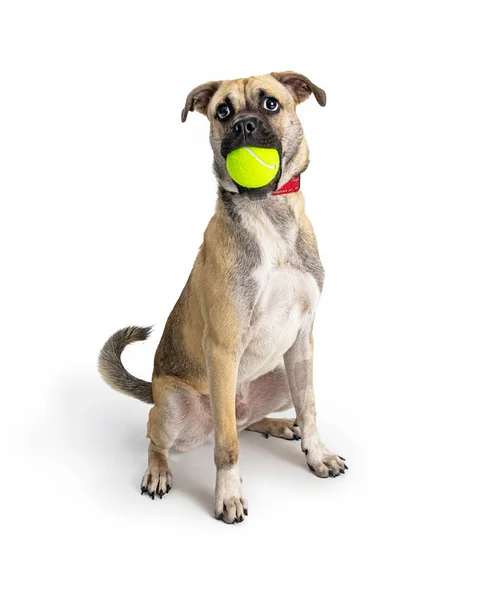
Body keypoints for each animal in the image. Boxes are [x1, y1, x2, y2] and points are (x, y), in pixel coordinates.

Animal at [97, 71, 346, 524]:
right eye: (223, 111)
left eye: (270, 104)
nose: (243, 126)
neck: (268, 218)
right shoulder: (224, 347)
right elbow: (227, 447)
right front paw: (228, 495)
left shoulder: (303, 341)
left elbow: (310, 408)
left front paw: (317, 455)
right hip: (174, 406)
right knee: (162, 435)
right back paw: (157, 471)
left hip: (280, 375)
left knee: (246, 420)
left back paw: (278, 425)